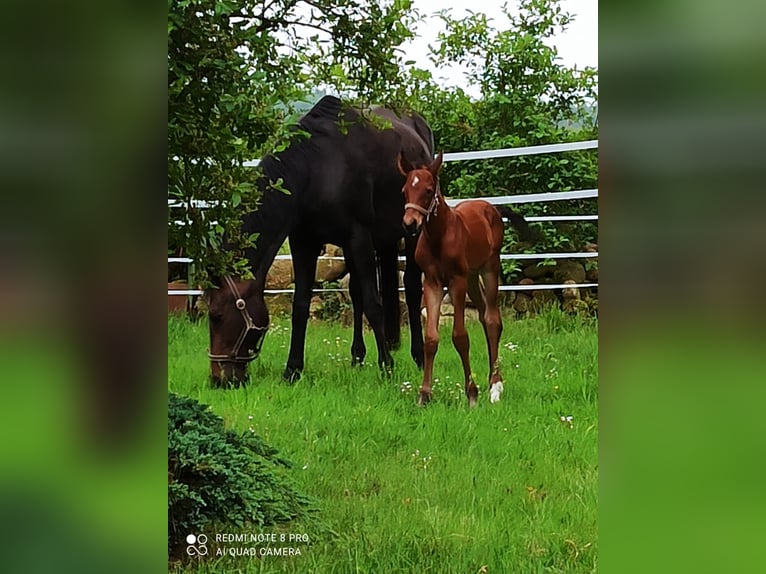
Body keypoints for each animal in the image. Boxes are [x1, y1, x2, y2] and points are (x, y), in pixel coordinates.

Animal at [400, 151, 536, 408]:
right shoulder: (431, 282)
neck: (439, 237)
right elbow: (431, 338)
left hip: (489, 268)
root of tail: (492, 208)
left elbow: (460, 336)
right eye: (405, 190)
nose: (410, 223)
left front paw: (471, 393)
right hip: (472, 277)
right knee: (484, 316)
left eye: (428, 190)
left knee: (492, 320)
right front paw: (424, 394)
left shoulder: (456, 281)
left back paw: (495, 387)